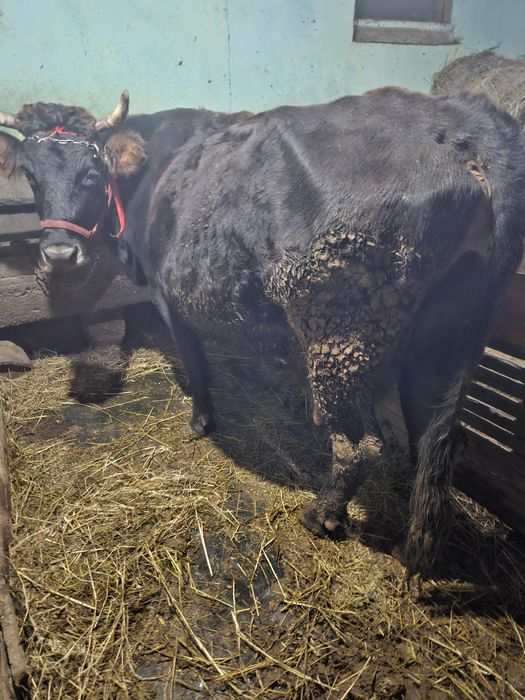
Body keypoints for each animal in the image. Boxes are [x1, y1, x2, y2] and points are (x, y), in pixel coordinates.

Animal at [1, 87, 525, 584]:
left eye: (92, 174)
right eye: (30, 174)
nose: (59, 253)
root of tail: (463, 118)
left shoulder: (169, 297)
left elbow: (195, 361)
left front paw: (202, 420)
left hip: (339, 335)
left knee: (360, 446)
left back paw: (321, 515)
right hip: (440, 332)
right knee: (432, 440)